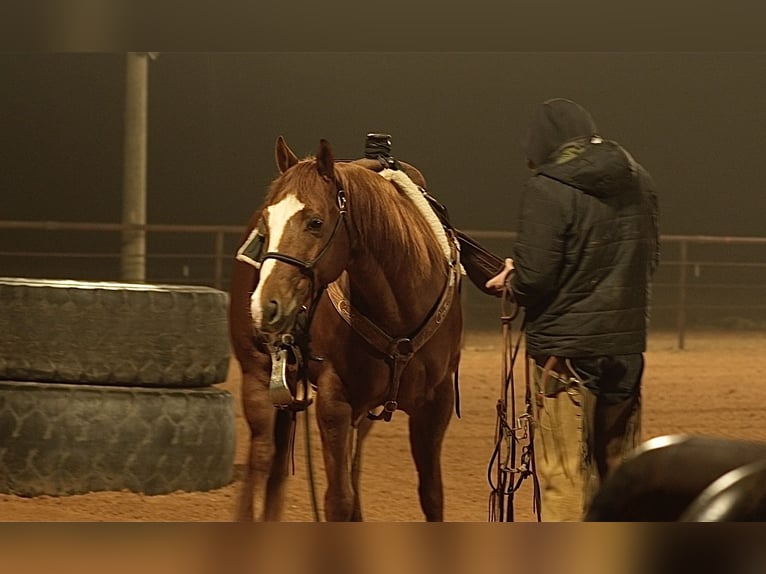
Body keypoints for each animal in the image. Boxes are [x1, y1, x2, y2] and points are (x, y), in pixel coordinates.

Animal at [228, 136, 464, 520]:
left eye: (316, 222)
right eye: (266, 225)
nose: (265, 306)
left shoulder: (436, 404)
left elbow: (432, 496)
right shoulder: (335, 401)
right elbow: (337, 500)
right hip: (257, 376)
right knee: (261, 457)